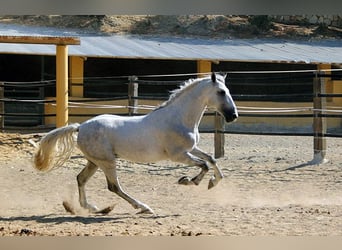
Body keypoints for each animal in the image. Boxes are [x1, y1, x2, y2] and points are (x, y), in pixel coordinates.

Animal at [34, 73, 238, 215]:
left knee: (81, 179)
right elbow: (204, 165)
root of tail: (80, 126)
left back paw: (92, 207)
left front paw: (213, 182)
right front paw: (188, 181)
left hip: (95, 162)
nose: (233, 116)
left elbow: (211, 159)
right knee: (114, 187)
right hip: (107, 162)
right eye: (221, 92)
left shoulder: (191, 149)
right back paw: (143, 207)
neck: (179, 119)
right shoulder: (178, 155)